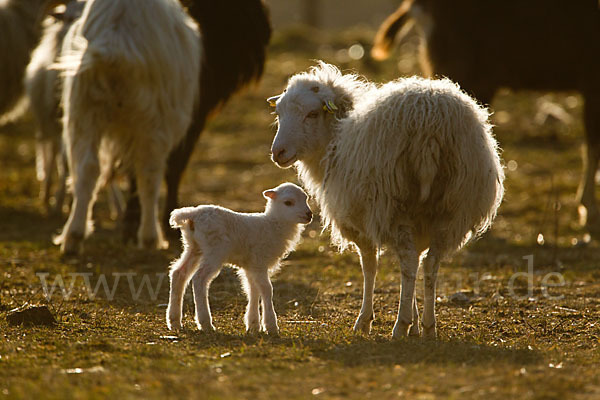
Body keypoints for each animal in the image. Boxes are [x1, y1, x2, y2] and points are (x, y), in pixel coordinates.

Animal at [24, 0, 85, 214]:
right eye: (67, 17)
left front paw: (69, 200)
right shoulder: (57, 122)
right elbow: (64, 162)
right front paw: (58, 202)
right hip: (45, 122)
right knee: (50, 155)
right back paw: (46, 192)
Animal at [54, 0, 199, 255]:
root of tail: (116, 38)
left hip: (83, 110)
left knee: (87, 168)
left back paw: (73, 236)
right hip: (153, 119)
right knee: (149, 173)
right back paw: (150, 238)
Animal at [166, 183, 312, 336]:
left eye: (306, 199)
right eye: (288, 202)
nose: (309, 215)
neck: (272, 224)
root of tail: (192, 215)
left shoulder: (250, 265)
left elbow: (253, 290)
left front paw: (253, 325)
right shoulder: (259, 261)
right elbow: (266, 289)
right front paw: (271, 326)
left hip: (194, 247)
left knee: (179, 273)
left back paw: (174, 322)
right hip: (215, 250)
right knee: (199, 279)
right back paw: (206, 323)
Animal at [270, 61, 504, 338]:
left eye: (313, 114)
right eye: (279, 113)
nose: (278, 152)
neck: (334, 138)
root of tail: (431, 122)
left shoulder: (360, 221)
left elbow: (369, 266)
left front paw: (365, 321)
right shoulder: (418, 224)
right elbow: (413, 268)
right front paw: (415, 321)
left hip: (393, 203)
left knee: (409, 260)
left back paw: (399, 326)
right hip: (454, 206)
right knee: (429, 264)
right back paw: (428, 327)